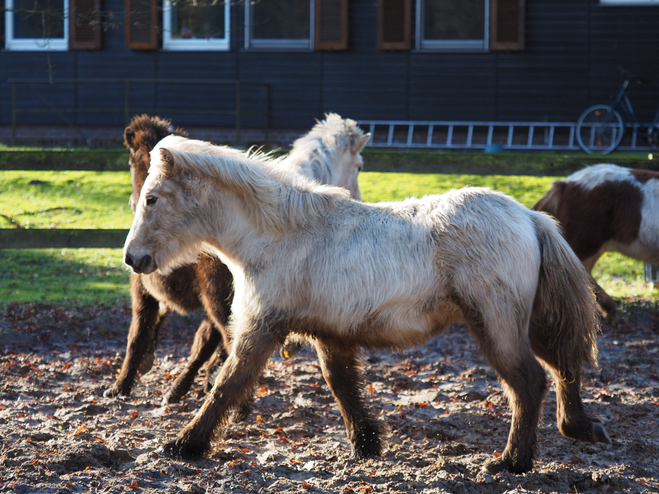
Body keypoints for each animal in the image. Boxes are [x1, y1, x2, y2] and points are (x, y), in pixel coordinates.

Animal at [122, 135, 608, 474]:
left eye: (151, 198)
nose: (132, 258)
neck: (278, 235)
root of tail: (529, 216)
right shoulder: (329, 333)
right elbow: (342, 386)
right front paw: (368, 443)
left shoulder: (260, 327)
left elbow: (227, 384)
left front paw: (183, 444)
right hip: (525, 323)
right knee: (563, 368)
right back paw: (580, 427)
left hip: (496, 325)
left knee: (528, 382)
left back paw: (512, 462)